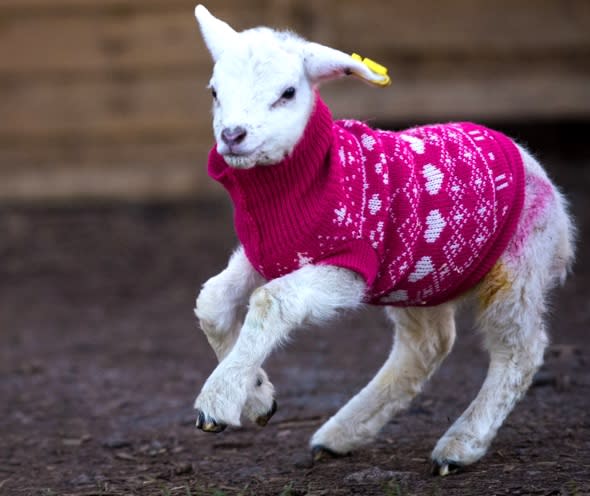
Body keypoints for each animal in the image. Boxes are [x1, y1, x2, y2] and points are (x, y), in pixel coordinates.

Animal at [192, 4, 576, 476]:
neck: (299, 184)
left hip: (518, 268)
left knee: (519, 352)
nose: (233, 135)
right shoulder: (267, 253)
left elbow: (271, 301)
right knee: (427, 346)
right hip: (420, 278)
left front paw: (219, 400)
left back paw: (460, 445)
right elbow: (212, 299)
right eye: (214, 91)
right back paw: (340, 435)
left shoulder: (352, 266)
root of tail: (541, 175)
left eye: (287, 93)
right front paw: (259, 397)